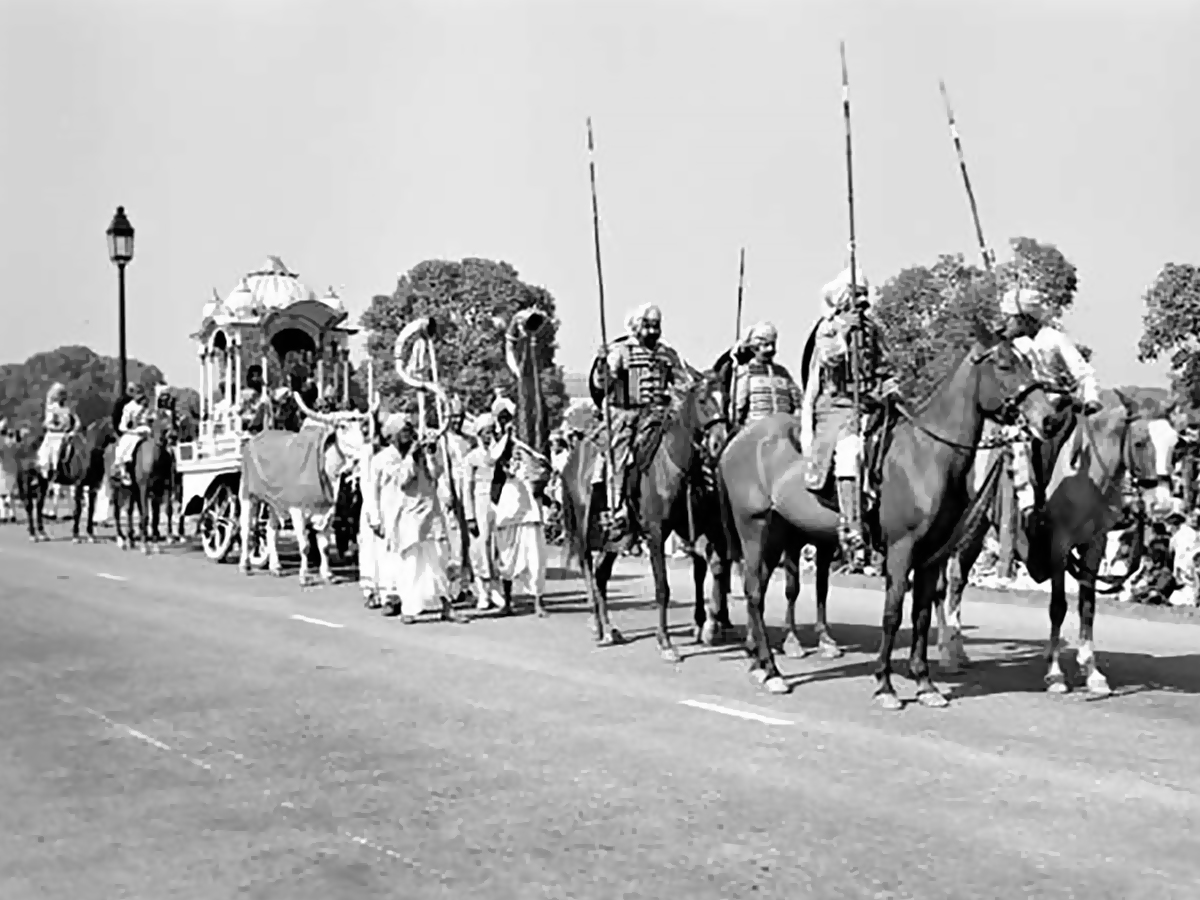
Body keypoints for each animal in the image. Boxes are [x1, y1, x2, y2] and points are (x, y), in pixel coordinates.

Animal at [107, 412, 177, 554]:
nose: (173, 436)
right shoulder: (144, 489)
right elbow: (145, 515)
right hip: (116, 487)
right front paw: (145, 545)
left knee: (128, 511)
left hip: (132, 490)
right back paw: (121, 539)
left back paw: (131, 539)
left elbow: (155, 517)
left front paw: (155, 545)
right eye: (162, 419)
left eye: (173, 418)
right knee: (117, 512)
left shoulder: (158, 489)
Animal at [556, 369, 724, 657]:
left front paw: (707, 626)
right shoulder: (656, 533)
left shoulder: (692, 528)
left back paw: (611, 629)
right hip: (583, 525)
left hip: (615, 538)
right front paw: (665, 641)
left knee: (601, 574)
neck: (673, 464)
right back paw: (599, 627)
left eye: (724, 397)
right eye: (703, 400)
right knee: (587, 567)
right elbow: (662, 587)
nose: (719, 441)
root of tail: (570, 462)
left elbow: (709, 568)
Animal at [715, 328, 1056, 710]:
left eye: (1028, 363)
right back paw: (773, 672)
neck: (928, 454)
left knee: (758, 590)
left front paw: (925, 683)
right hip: (754, 529)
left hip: (776, 533)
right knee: (754, 594)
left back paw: (760, 664)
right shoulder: (900, 548)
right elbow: (892, 613)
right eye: (1004, 364)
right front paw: (885, 685)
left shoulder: (931, 556)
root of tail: (739, 439)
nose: (1050, 419)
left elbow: (921, 615)